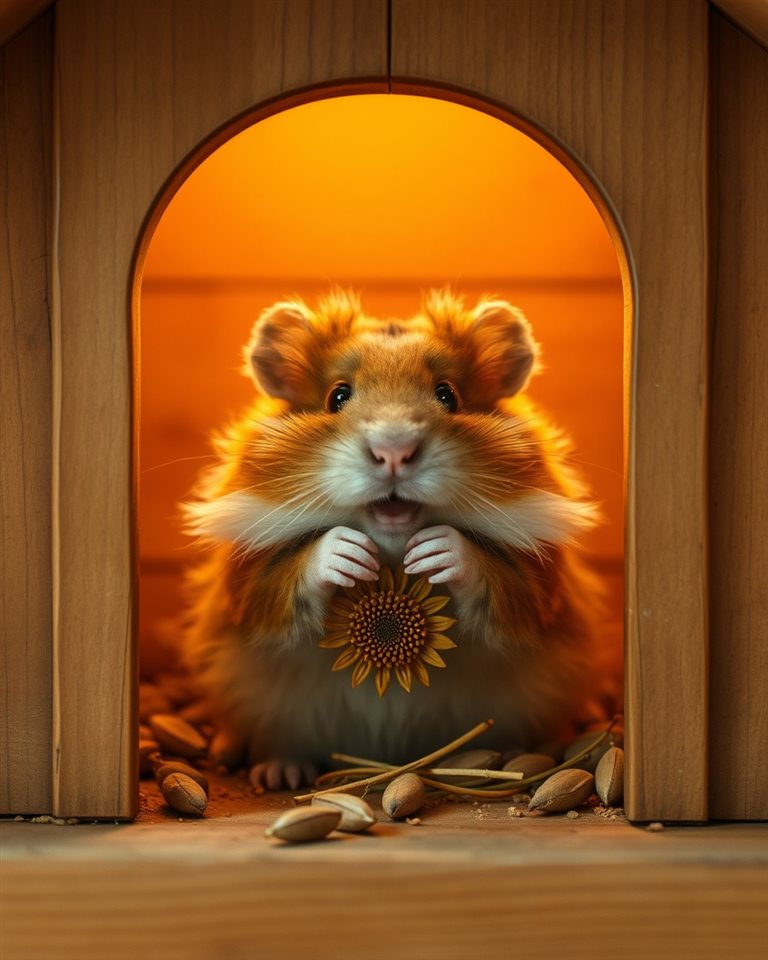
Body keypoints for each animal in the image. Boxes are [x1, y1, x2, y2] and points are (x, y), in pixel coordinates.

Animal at [182, 289, 613, 789]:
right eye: (337, 396)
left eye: (448, 395)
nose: (393, 450)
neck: (391, 547)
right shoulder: (245, 582)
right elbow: (280, 582)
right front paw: (348, 553)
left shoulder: (542, 582)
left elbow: (505, 586)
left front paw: (435, 551)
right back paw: (283, 775)